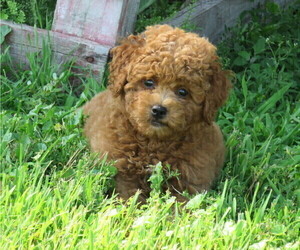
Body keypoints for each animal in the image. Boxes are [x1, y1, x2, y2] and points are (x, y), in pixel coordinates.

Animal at [83, 24, 231, 201]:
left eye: (183, 92)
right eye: (149, 82)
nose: (159, 110)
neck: (153, 143)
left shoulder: (191, 179)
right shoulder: (121, 171)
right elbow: (128, 196)